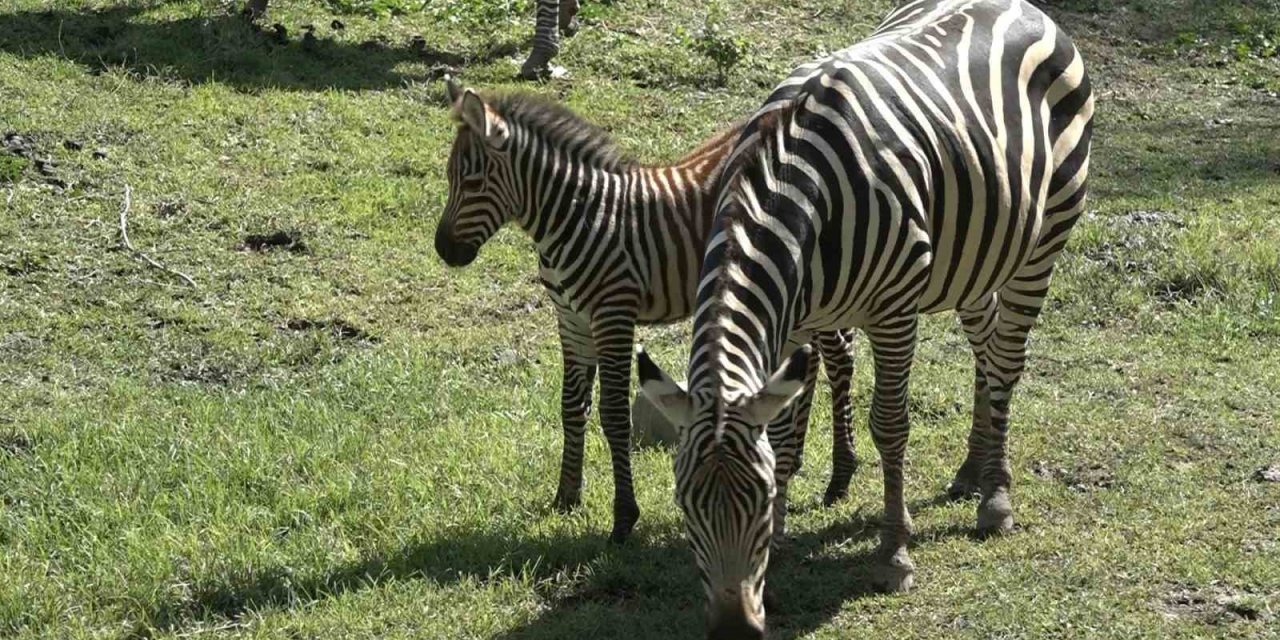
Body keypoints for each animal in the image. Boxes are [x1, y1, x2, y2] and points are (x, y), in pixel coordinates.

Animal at [434, 77, 862, 543]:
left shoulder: (613, 316)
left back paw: (840, 478)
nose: (443, 250)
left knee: (840, 357)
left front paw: (623, 519)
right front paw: (566, 497)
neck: (576, 216)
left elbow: (613, 416)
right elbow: (571, 406)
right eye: (450, 177)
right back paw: (797, 457)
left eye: (473, 180)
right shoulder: (571, 319)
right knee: (817, 356)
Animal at [637, 0, 1094, 635]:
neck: (793, 195)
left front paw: (893, 555)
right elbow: (785, 433)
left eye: (757, 502)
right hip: (976, 257)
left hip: (1043, 240)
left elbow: (891, 425)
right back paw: (971, 470)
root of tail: (1024, 8)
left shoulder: (893, 310)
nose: (733, 629)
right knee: (985, 345)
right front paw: (780, 553)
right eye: (685, 504)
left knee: (1006, 360)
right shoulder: (792, 324)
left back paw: (995, 497)